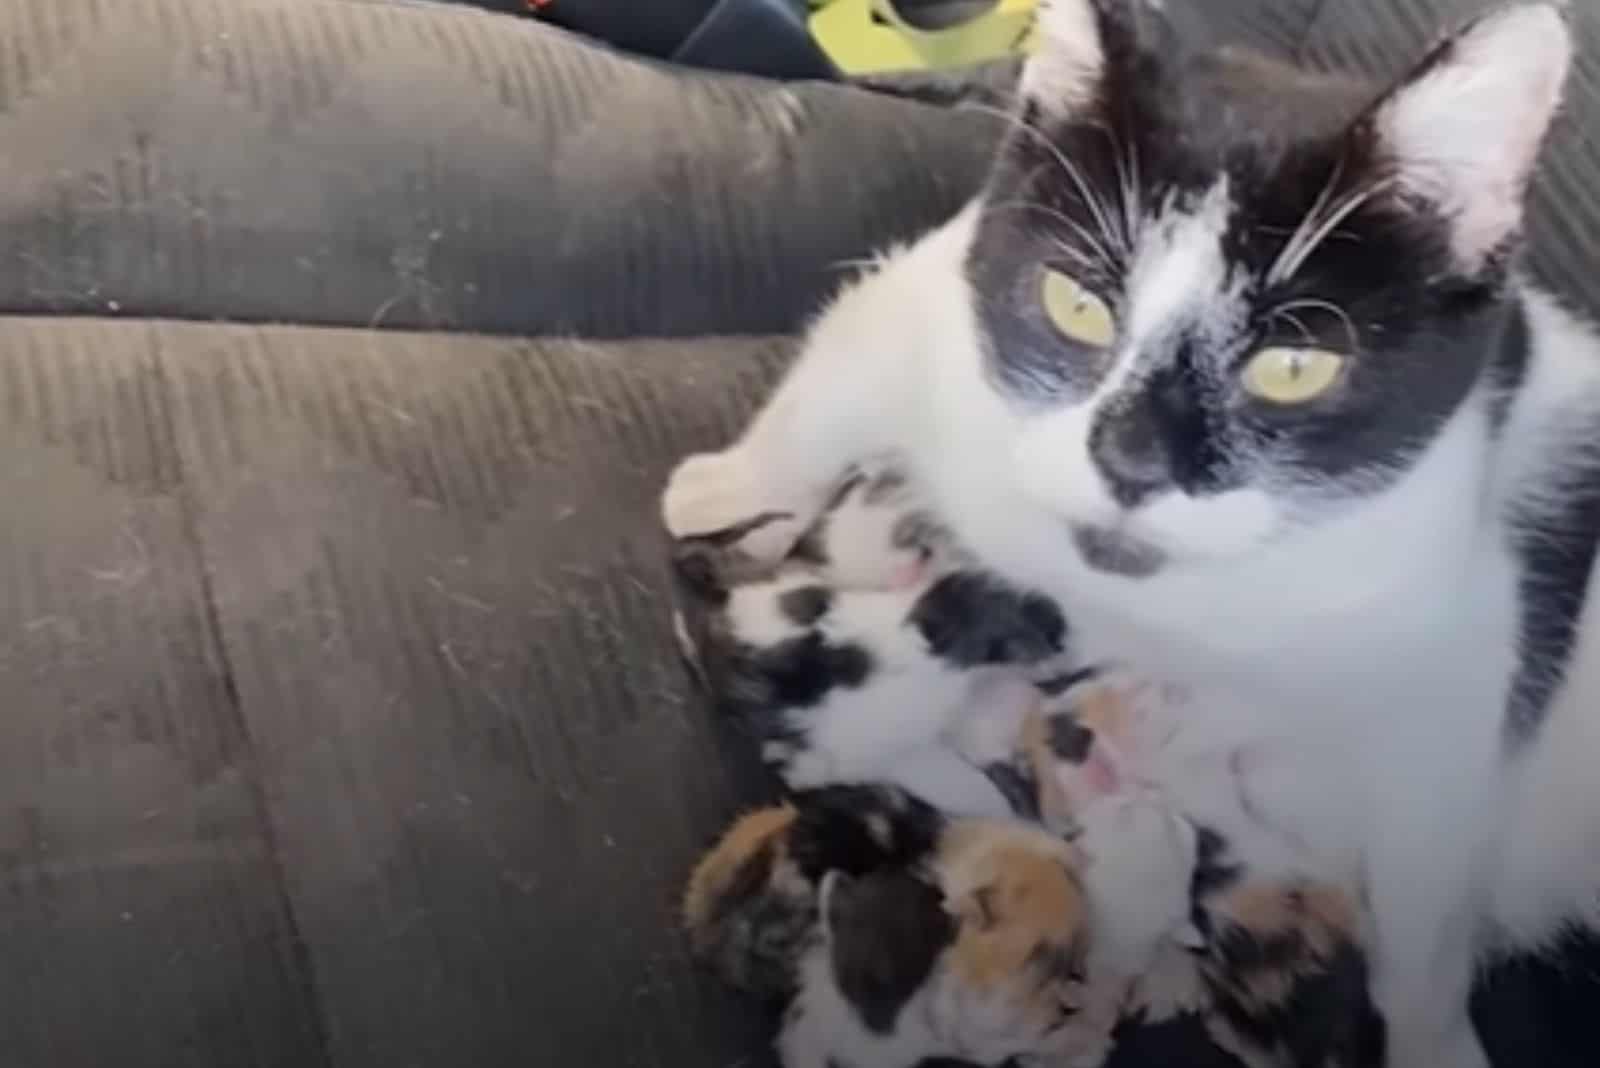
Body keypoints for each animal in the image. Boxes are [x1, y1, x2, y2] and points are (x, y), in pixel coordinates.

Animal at [662, 2, 1600, 1068]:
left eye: (1294, 368)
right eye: (1076, 304)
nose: (1132, 460)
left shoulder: (1454, 617)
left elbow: (1426, 883)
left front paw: (1430, 1034)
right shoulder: (944, 298)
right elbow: (860, 357)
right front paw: (729, 485)